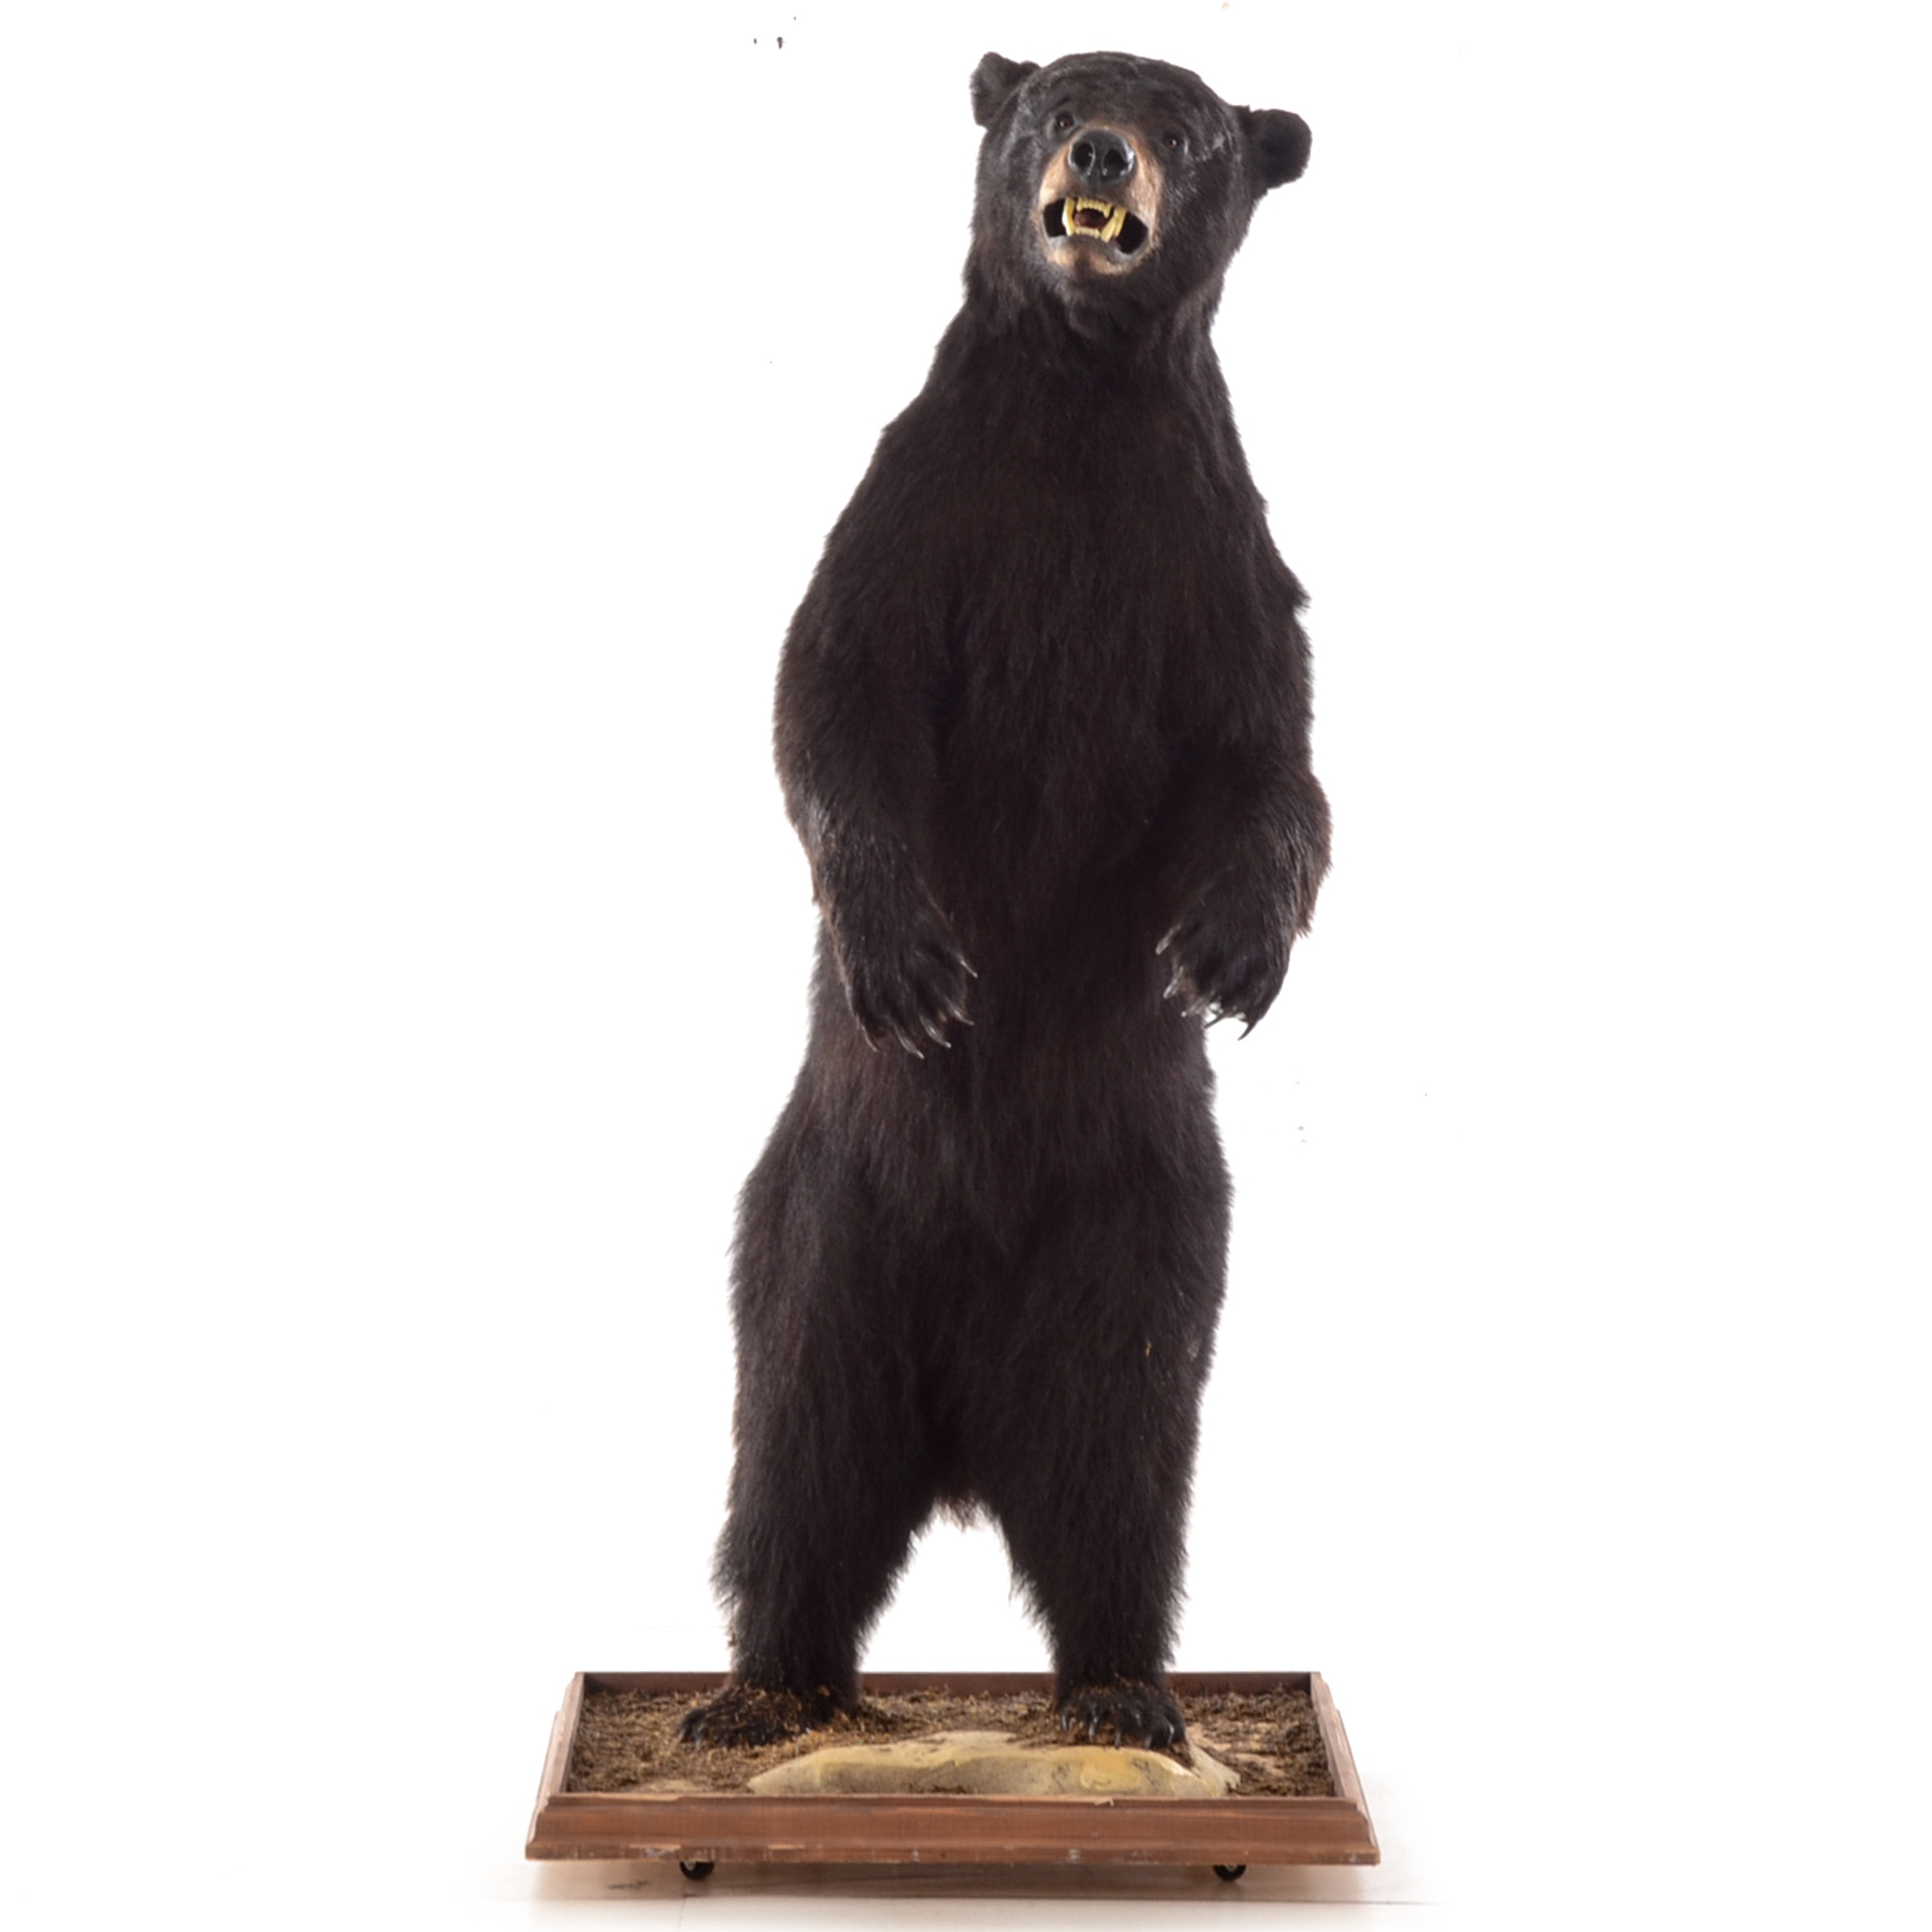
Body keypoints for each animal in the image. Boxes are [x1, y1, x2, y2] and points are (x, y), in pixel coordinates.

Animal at [680, 50, 1330, 1753]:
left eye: (1192, 128)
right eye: (1055, 104)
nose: (1101, 152)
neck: (1085, 412)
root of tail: (968, 1447)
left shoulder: (1212, 571)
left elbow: (1275, 765)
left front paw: (1227, 955)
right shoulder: (921, 524)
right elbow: (831, 705)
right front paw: (912, 970)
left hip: (1149, 1242)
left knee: (1123, 1476)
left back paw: (1123, 1694)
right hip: (824, 1234)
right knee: (797, 1463)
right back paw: (759, 1695)